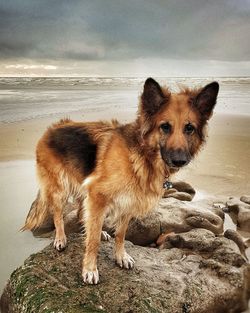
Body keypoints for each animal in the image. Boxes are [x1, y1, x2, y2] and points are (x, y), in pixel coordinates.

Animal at [23, 77, 219, 282]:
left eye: (189, 128)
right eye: (165, 127)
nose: (180, 160)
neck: (141, 155)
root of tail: (51, 129)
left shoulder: (128, 201)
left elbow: (121, 234)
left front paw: (120, 256)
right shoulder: (98, 194)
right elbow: (92, 241)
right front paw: (90, 269)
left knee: (81, 213)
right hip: (59, 189)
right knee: (58, 215)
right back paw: (61, 238)